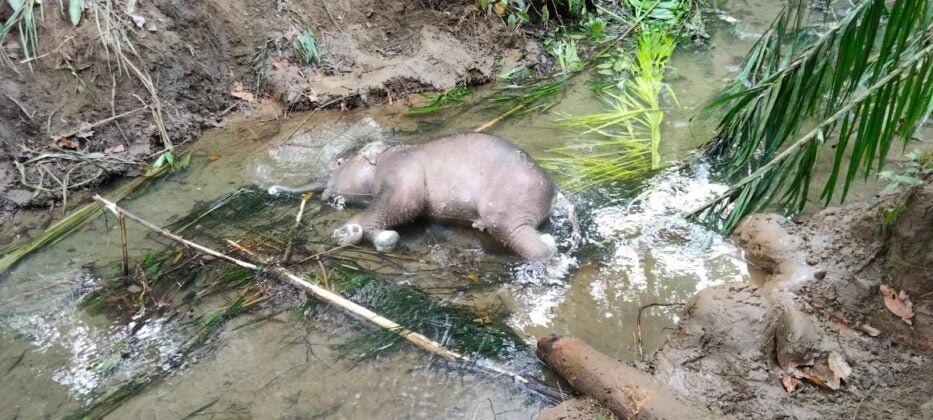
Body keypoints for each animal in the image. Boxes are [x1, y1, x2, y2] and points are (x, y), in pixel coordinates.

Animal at [266, 133, 580, 260]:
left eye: (338, 164)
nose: (272, 189)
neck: (386, 151)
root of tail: (555, 191)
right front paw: (385, 239)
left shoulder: (401, 171)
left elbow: (405, 202)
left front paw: (343, 233)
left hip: (509, 200)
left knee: (513, 232)